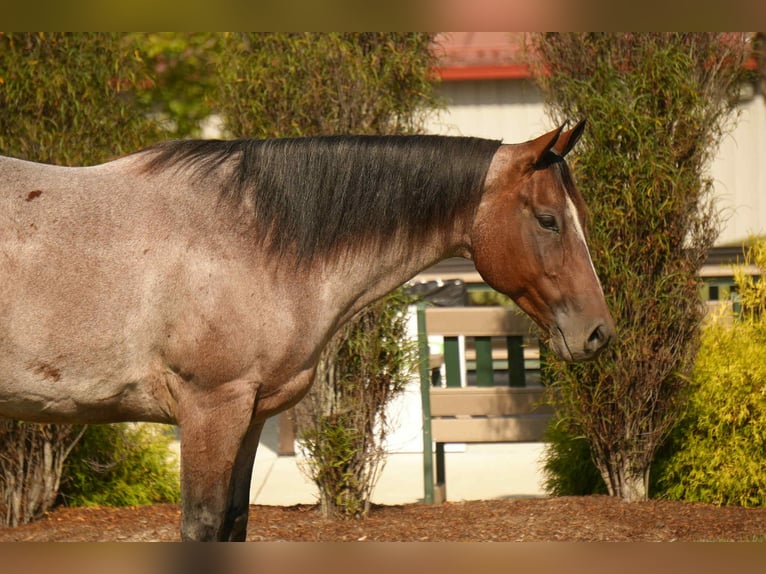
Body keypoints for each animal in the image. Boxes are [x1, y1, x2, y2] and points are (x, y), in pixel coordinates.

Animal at [0, 119, 614, 541]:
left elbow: (234, 522)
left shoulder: (249, 417)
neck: (248, 237)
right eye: (548, 220)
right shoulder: (210, 409)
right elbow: (201, 526)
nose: (598, 333)